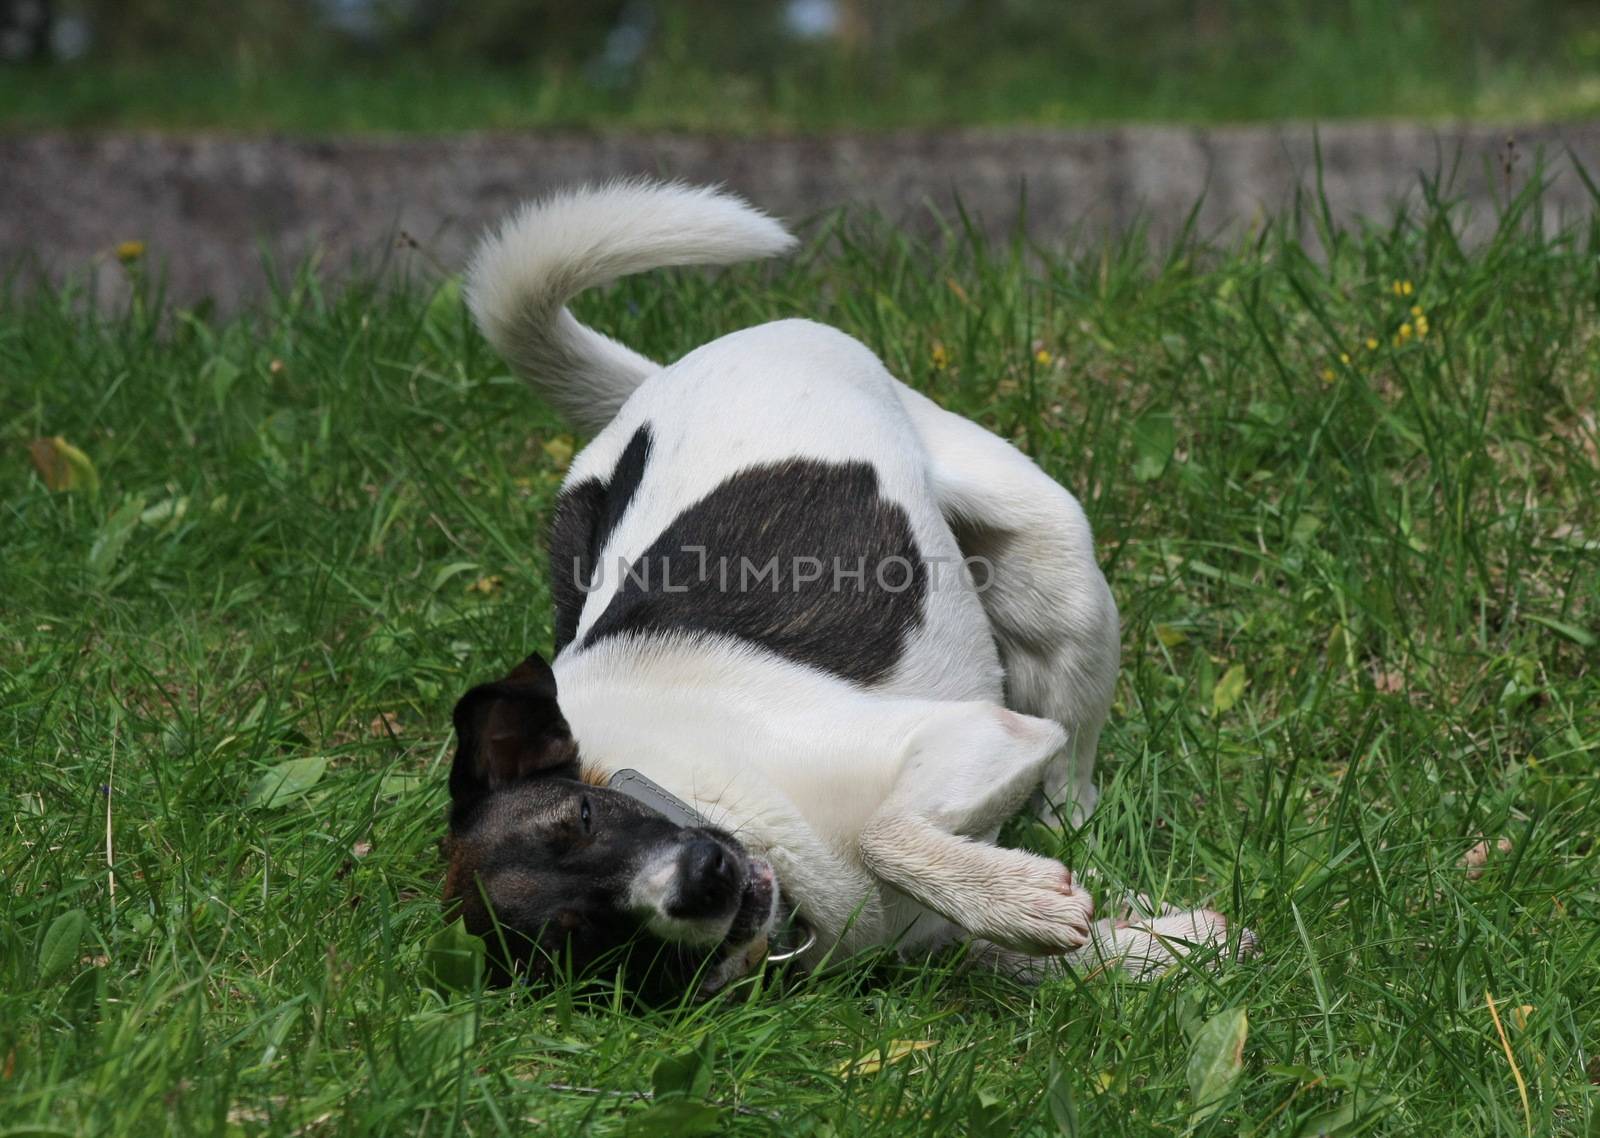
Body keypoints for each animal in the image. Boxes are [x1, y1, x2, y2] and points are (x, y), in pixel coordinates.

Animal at [444, 180, 1254, 998]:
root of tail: (659, 377)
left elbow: (882, 833)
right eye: (585, 937)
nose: (702, 878)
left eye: (585, 816)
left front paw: (1016, 895)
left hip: (1059, 590)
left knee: (1070, 783)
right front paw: (1162, 946)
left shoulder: (978, 734)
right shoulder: (936, 934)